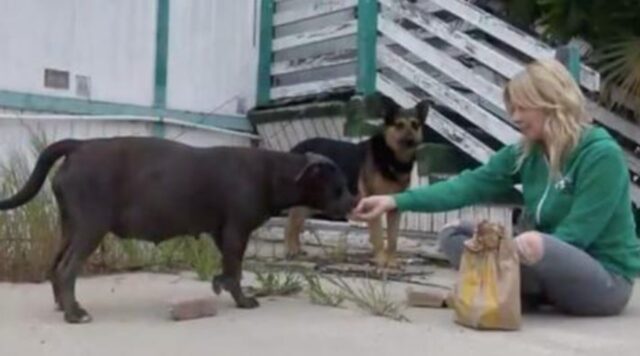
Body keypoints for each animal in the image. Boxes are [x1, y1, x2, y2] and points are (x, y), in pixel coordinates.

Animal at [0, 136, 356, 322]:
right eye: (339, 187)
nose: (354, 203)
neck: (275, 172)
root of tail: (80, 145)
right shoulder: (236, 232)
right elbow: (236, 270)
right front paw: (241, 299)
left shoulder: (222, 233)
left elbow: (229, 269)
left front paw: (221, 285)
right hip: (90, 227)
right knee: (67, 269)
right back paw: (75, 313)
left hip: (71, 227)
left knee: (56, 265)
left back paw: (63, 305)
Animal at [284, 94, 424, 268]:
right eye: (399, 125)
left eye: (415, 125)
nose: (411, 141)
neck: (392, 158)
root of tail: (294, 149)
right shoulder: (372, 203)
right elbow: (378, 236)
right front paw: (381, 260)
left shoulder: (394, 207)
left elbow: (393, 239)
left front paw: (391, 261)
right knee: (290, 225)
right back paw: (291, 250)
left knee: (296, 224)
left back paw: (297, 249)